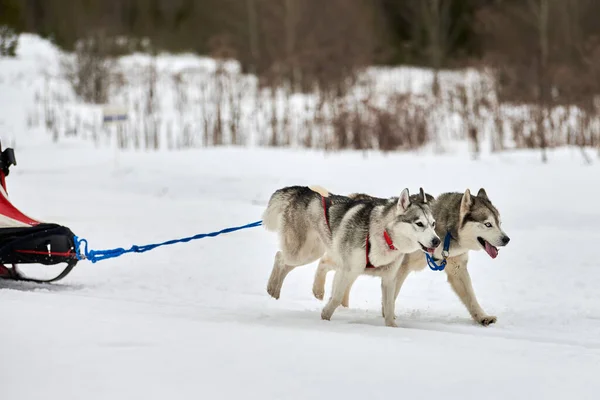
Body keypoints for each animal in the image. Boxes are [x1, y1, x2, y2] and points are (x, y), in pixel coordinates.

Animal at [262, 186, 440, 326]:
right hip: (302, 253)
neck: (384, 236)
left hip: (314, 253)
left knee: (310, 263)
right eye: (419, 224)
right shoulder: (348, 271)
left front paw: (392, 328)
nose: (437, 241)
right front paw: (325, 318)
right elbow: (336, 297)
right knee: (279, 257)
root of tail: (303, 190)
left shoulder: (389, 278)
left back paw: (294, 291)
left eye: (433, 224)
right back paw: (272, 287)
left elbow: (389, 307)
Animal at [314, 189, 510, 326]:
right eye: (488, 224)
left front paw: (482, 317)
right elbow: (391, 296)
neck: (444, 232)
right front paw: (387, 315)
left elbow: (471, 297)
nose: (506, 239)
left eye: (499, 223)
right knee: (327, 264)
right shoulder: (400, 267)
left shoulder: (457, 268)